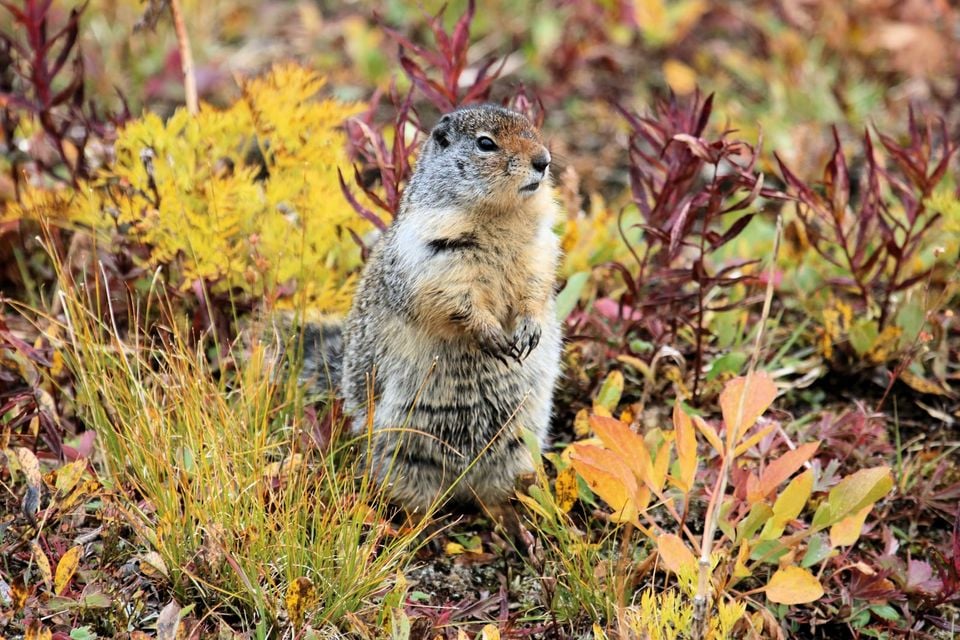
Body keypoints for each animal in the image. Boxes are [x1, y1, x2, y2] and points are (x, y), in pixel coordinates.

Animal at [300, 103, 562, 520]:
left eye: (533, 129)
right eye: (485, 143)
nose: (543, 161)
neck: (501, 217)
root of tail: (461, 482)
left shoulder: (539, 248)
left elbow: (537, 286)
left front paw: (529, 331)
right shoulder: (434, 256)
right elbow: (456, 299)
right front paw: (490, 334)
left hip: (518, 447)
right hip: (400, 448)